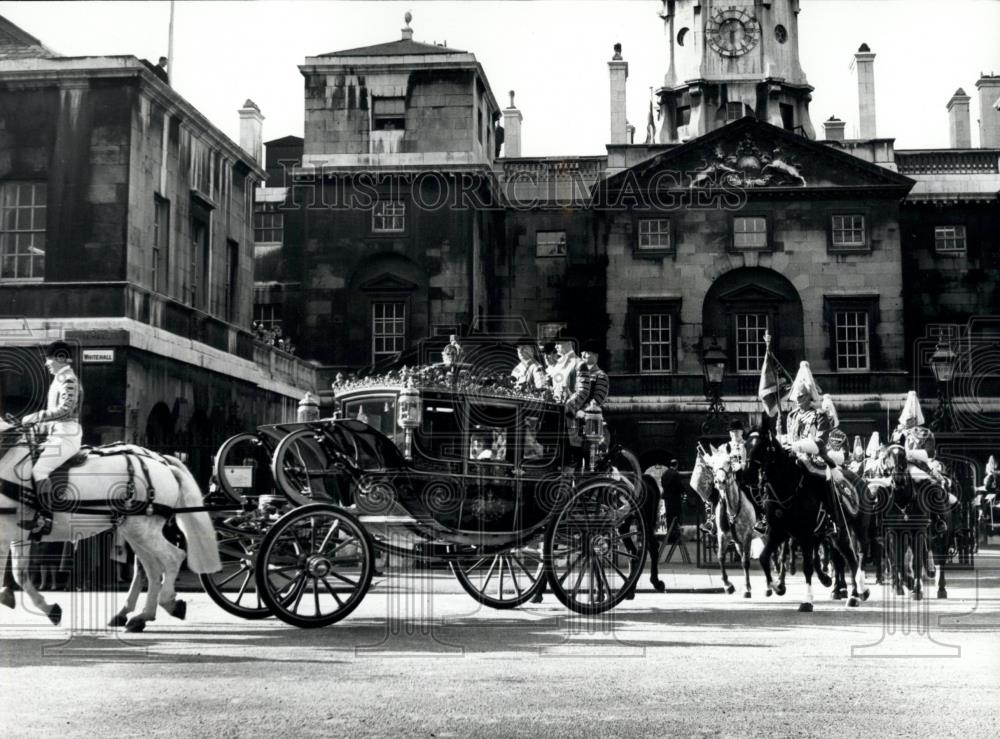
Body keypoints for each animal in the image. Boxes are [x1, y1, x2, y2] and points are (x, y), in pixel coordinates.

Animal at [0, 420, 220, 632]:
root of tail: (162, 462)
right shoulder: (17, 534)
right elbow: (20, 574)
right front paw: (47, 608)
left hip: (142, 530)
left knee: (173, 558)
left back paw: (166, 603)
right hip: (135, 531)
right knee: (151, 569)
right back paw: (140, 616)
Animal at [752, 416, 868, 612]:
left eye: (764, 448)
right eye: (745, 446)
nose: (750, 477)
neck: (788, 489)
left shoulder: (805, 535)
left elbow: (808, 566)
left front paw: (807, 601)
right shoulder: (779, 532)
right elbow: (765, 557)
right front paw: (776, 586)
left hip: (856, 529)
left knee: (856, 556)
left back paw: (856, 591)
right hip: (838, 535)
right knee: (849, 557)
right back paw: (854, 594)